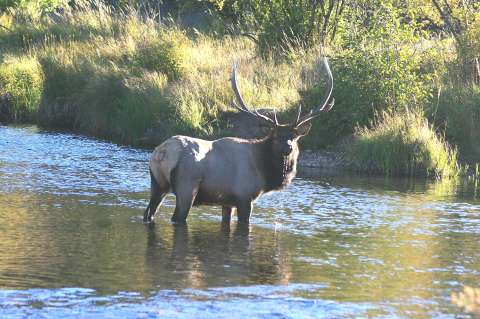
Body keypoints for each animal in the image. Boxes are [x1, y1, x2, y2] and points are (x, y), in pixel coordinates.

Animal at [142, 58, 334, 225]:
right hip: (186, 187)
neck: (264, 172)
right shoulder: (245, 197)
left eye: (294, 137)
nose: (287, 148)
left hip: (157, 184)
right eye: (275, 136)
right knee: (176, 217)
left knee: (148, 213)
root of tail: (161, 153)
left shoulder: (227, 202)